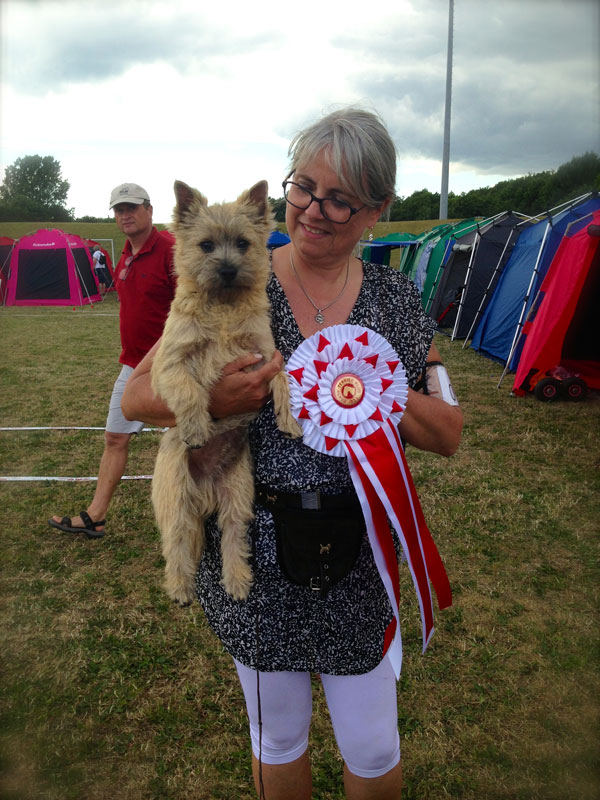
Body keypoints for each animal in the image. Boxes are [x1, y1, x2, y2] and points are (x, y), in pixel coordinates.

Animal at [150, 181, 300, 608]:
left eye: (243, 243)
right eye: (205, 245)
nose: (229, 269)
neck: (223, 305)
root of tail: (205, 493)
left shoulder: (265, 353)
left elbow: (284, 378)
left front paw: (290, 420)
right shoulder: (169, 364)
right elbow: (189, 390)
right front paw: (197, 428)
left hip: (238, 494)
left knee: (234, 538)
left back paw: (237, 581)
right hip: (175, 494)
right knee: (177, 542)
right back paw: (181, 587)